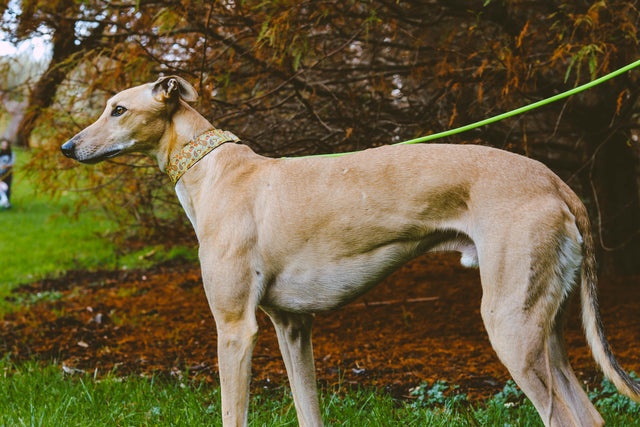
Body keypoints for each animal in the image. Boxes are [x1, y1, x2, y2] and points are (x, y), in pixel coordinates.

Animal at [61, 77, 640, 427]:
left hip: (510, 326)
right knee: (590, 415)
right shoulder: (292, 327)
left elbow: (232, 412)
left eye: (118, 109)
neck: (218, 172)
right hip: (547, 327)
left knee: (562, 416)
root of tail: (557, 183)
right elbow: (308, 410)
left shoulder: (235, 329)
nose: (67, 148)